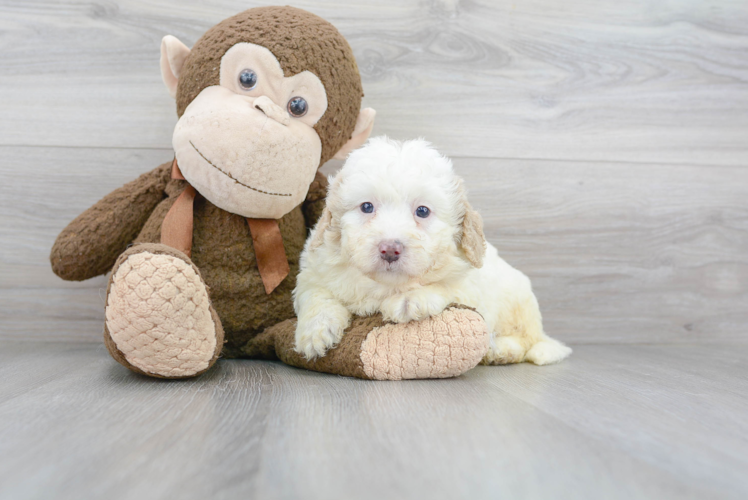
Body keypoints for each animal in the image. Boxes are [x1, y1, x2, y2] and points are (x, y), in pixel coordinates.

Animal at [292, 139, 572, 366]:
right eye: (367, 207)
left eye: (423, 211)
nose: (390, 249)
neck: (386, 284)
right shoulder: (314, 270)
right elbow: (317, 296)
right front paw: (315, 334)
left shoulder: (471, 285)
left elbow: (448, 285)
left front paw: (410, 298)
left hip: (520, 302)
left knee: (526, 342)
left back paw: (500, 351)